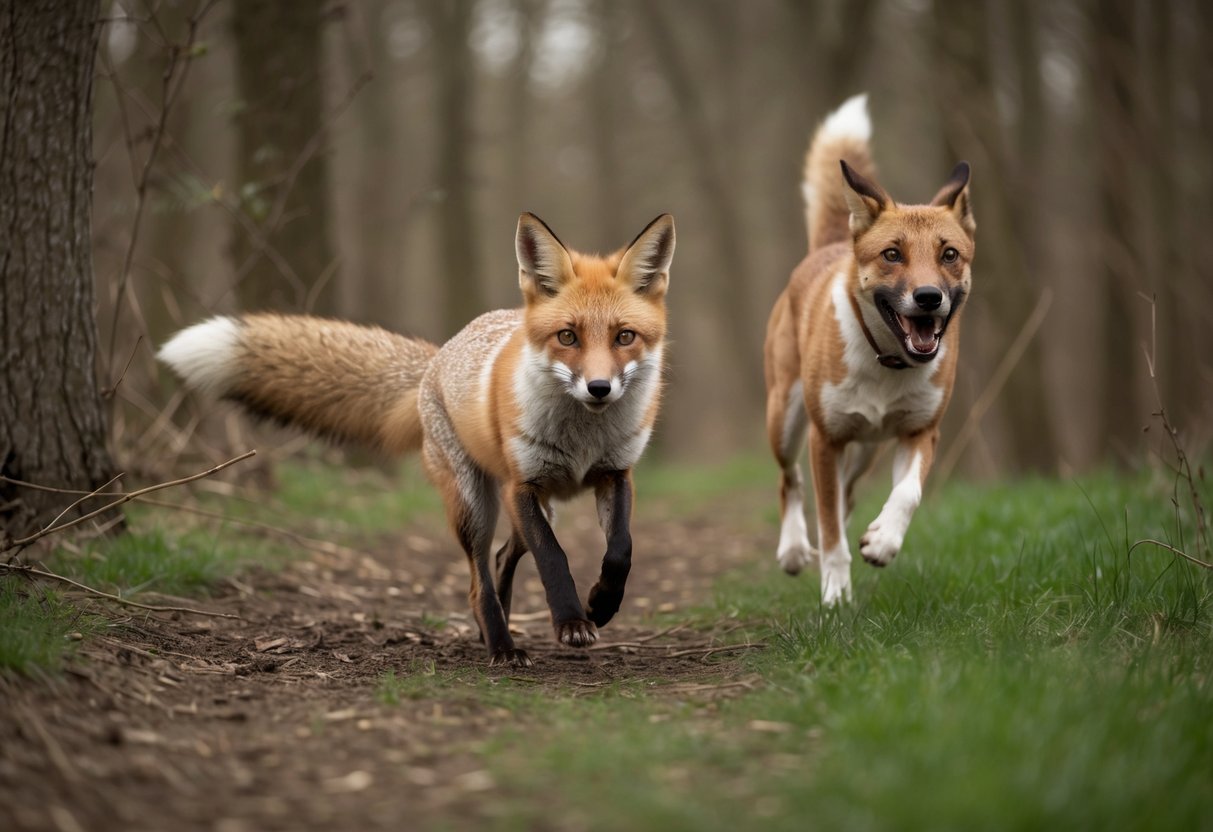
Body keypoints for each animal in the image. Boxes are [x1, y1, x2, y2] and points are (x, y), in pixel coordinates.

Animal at [158, 213, 676, 667]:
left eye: (624, 336)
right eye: (567, 337)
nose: (599, 388)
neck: (583, 439)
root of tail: (439, 355)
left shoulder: (613, 474)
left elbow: (621, 551)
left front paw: (602, 605)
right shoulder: (522, 485)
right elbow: (554, 559)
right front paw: (570, 620)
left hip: (533, 506)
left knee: (502, 559)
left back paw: (497, 630)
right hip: (477, 505)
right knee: (479, 582)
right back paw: (501, 646)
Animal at [764, 94, 975, 605]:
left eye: (949, 254)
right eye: (892, 254)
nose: (928, 297)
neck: (888, 362)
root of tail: (831, 245)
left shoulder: (922, 430)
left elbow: (908, 493)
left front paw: (881, 542)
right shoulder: (825, 439)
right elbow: (828, 526)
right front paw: (836, 596)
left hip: (864, 452)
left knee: (846, 494)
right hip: (786, 416)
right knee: (790, 480)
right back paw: (795, 550)